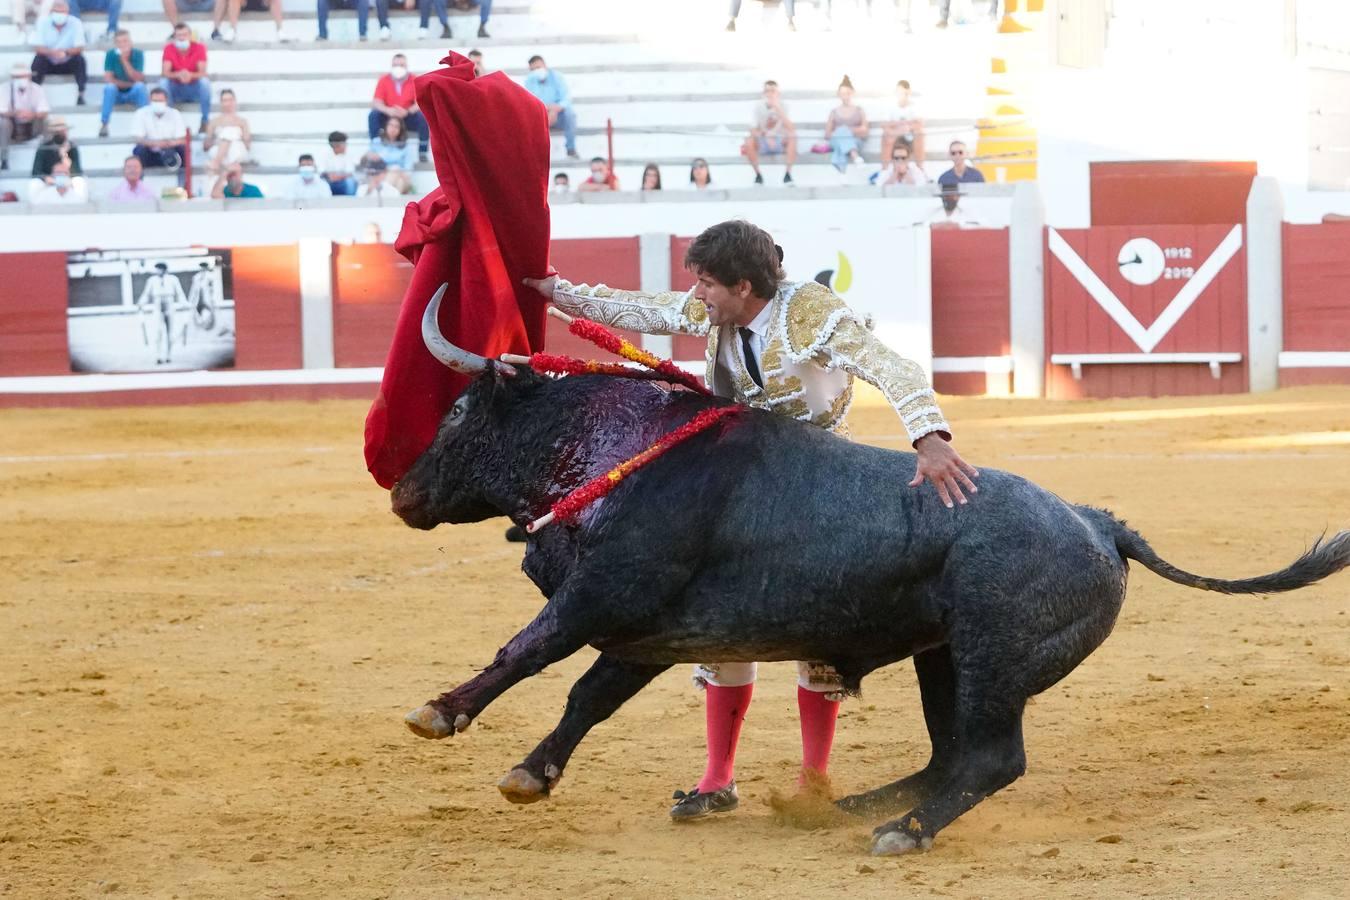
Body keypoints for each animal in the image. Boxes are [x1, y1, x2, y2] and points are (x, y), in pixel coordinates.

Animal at [391, 288, 1350, 858]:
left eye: (460, 410)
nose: (401, 493)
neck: (614, 450)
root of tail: (1098, 522)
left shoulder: (609, 594)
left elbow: (529, 651)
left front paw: (438, 712)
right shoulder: (648, 630)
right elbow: (587, 696)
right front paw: (532, 774)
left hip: (994, 658)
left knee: (990, 758)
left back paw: (901, 830)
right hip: (945, 658)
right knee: (948, 752)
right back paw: (844, 806)